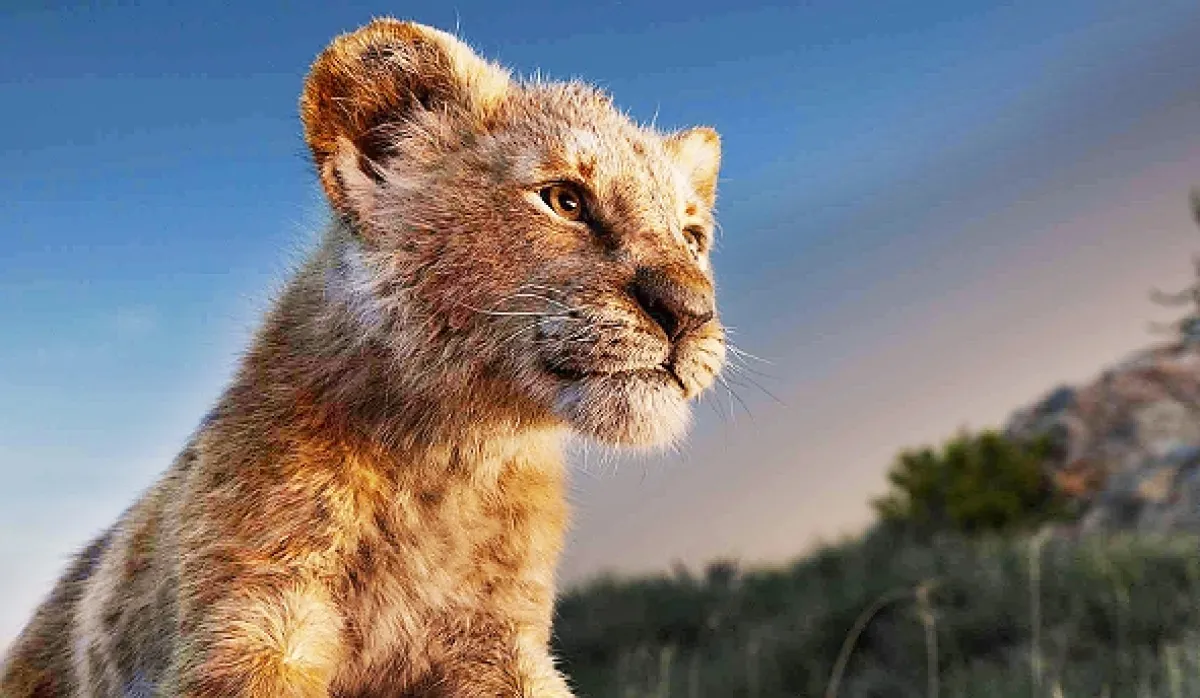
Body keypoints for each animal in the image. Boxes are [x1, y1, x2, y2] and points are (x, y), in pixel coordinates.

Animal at [1, 18, 725, 697]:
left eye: (693, 236)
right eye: (565, 199)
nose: (690, 312)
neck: (452, 459)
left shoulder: (498, 641)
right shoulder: (252, 616)